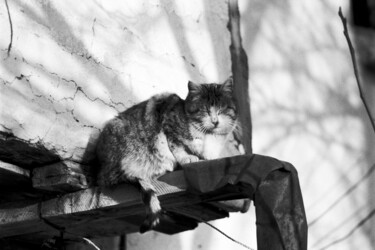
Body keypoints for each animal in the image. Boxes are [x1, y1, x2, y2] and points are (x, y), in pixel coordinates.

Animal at [95, 77, 239, 232]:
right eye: (205, 110)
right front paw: (188, 158)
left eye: (222, 109)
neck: (210, 137)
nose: (215, 121)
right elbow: (177, 146)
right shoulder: (168, 122)